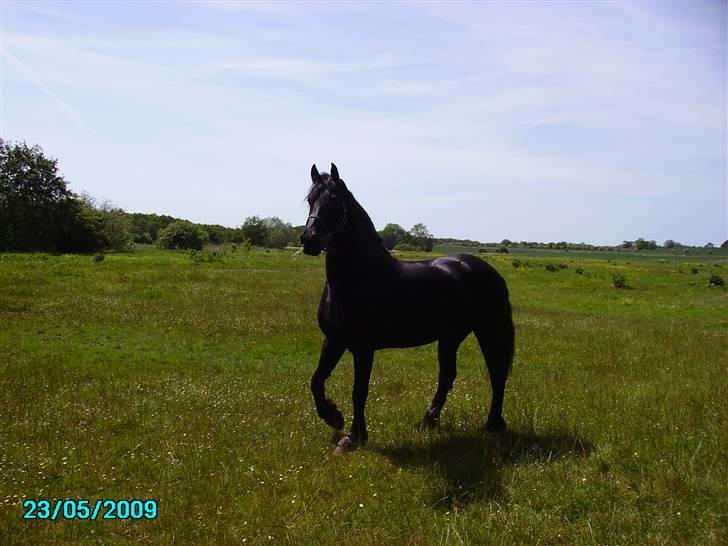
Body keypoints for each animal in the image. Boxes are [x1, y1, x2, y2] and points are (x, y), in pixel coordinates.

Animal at [298, 164, 516, 452]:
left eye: (334, 199)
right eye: (310, 200)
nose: (310, 239)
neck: (359, 275)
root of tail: (491, 273)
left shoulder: (363, 348)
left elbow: (359, 391)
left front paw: (354, 437)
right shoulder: (334, 340)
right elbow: (317, 380)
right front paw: (334, 417)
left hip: (487, 331)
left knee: (496, 371)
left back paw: (492, 423)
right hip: (451, 336)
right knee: (448, 375)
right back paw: (428, 421)